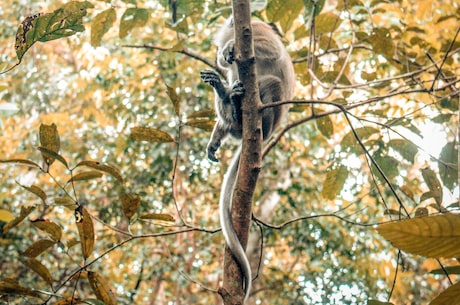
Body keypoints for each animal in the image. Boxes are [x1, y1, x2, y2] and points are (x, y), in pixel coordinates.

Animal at [200, 16, 294, 302]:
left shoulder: (257, 31)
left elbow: (272, 50)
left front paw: (230, 46)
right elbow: (226, 65)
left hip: (270, 113)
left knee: (271, 83)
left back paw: (237, 104)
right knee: (234, 84)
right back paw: (227, 99)